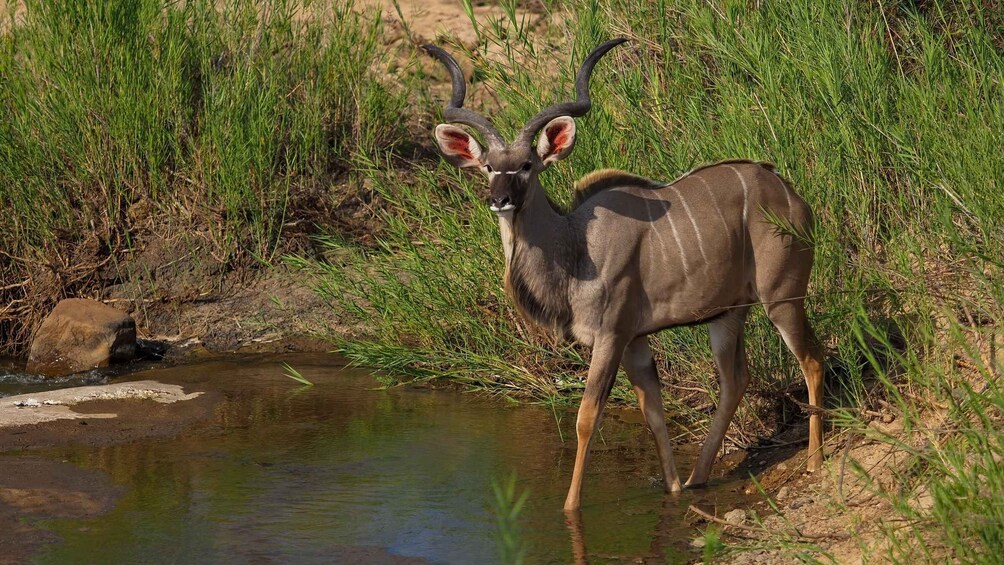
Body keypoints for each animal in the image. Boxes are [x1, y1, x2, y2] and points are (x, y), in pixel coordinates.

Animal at [423, 37, 823, 509]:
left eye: (526, 166)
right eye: (488, 167)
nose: (500, 199)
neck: (576, 247)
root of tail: (792, 197)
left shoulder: (611, 336)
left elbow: (587, 417)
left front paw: (570, 508)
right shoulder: (635, 340)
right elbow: (653, 412)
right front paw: (673, 489)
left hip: (782, 298)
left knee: (812, 360)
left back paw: (814, 462)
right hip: (727, 315)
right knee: (735, 379)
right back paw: (697, 479)